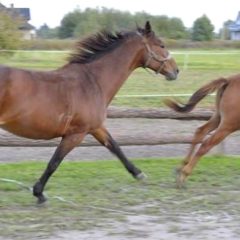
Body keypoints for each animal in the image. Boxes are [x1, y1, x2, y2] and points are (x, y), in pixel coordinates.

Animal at [0, 22, 178, 202]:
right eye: (161, 45)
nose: (176, 71)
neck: (92, 81)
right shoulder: (76, 134)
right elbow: (54, 162)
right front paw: (39, 193)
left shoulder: (95, 128)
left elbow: (115, 147)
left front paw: (138, 174)